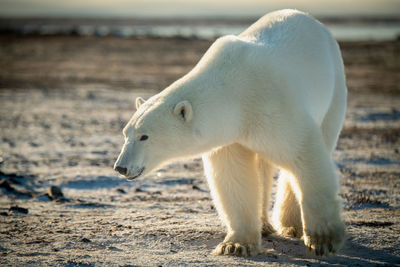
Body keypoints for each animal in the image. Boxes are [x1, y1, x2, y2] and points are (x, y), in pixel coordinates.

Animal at [114, 9, 346, 258]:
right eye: (126, 134)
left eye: (144, 136)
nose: (121, 167)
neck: (237, 94)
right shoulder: (229, 133)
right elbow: (234, 176)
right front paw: (235, 244)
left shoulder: (274, 106)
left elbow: (304, 154)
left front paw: (323, 241)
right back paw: (265, 225)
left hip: (334, 90)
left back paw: (291, 225)